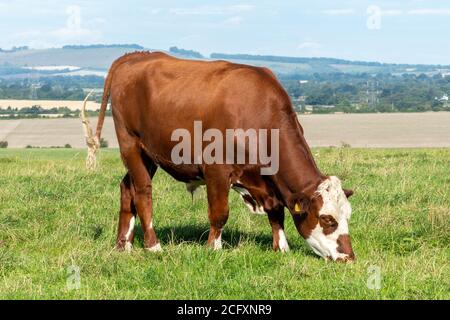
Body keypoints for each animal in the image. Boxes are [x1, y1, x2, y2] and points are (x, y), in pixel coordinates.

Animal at [80, 51, 356, 262]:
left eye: (347, 216)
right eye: (327, 219)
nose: (348, 257)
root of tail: (133, 56)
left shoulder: (268, 181)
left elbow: (277, 212)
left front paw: (282, 247)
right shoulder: (216, 170)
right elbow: (220, 212)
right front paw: (214, 247)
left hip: (150, 155)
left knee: (126, 188)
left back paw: (123, 244)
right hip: (131, 145)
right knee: (142, 193)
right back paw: (153, 245)